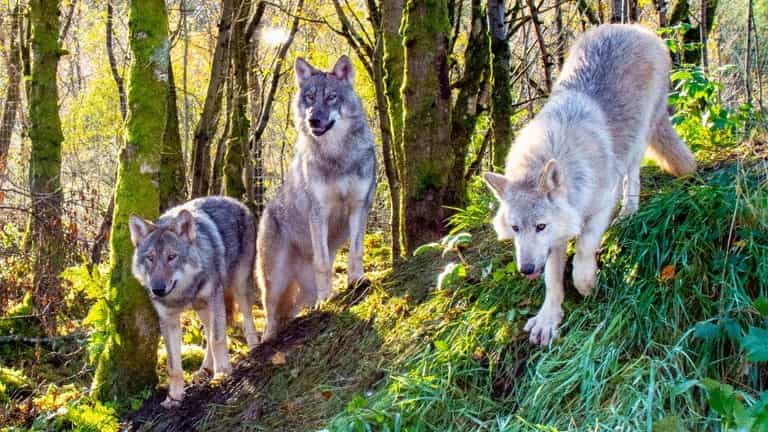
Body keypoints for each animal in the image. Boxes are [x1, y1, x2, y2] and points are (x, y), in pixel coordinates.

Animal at [128, 196, 259, 408]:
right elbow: (173, 366)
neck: (184, 294)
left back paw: (255, 347)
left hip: (239, 286)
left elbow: (217, 339)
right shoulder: (168, 321)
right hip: (202, 309)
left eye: (171, 257)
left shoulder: (215, 299)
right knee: (208, 331)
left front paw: (222, 373)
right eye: (150, 258)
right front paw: (174, 397)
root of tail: (235, 201)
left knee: (247, 320)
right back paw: (205, 369)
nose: (157, 289)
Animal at [256, 55, 377, 341]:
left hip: (301, 290)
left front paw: (357, 281)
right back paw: (268, 338)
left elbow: (356, 252)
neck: (337, 156)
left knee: (290, 311)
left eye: (332, 97)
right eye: (310, 97)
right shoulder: (318, 213)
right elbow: (323, 264)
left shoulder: (359, 206)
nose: (314, 120)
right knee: (270, 314)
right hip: (274, 281)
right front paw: (327, 302)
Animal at [483, 24, 696, 346]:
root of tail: (634, 28)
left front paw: (587, 286)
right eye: (516, 228)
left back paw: (628, 212)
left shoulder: (599, 208)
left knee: (632, 176)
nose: (526, 269)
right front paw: (548, 319)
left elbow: (582, 252)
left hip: (638, 139)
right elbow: (552, 279)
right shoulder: (555, 239)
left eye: (540, 226)